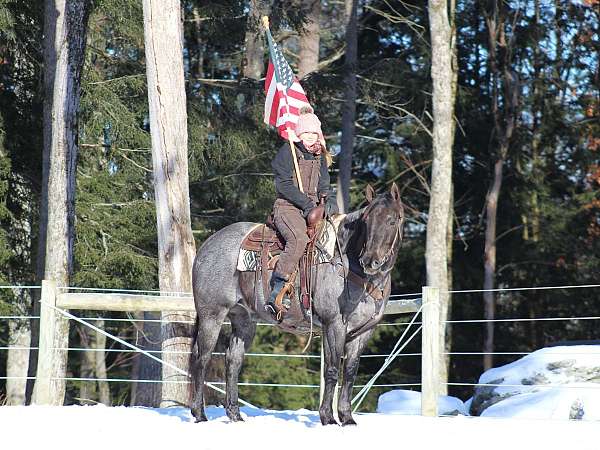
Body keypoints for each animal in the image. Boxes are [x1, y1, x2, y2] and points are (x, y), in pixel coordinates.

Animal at [189, 182, 404, 426]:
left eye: (392, 220)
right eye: (366, 221)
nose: (369, 261)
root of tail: (207, 244)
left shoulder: (363, 331)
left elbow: (350, 372)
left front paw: (347, 418)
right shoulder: (333, 324)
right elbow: (331, 370)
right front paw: (328, 418)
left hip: (244, 320)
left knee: (233, 361)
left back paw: (235, 415)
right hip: (212, 315)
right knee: (202, 358)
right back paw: (199, 414)